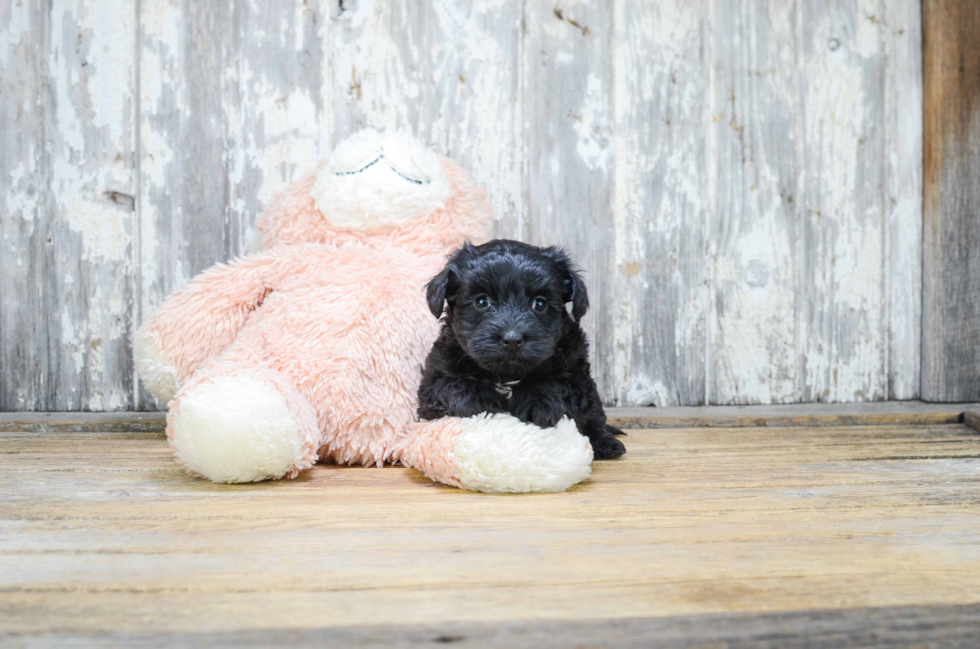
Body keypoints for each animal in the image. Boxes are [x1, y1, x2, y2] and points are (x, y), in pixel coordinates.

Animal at [418, 240, 624, 458]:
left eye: (539, 304)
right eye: (482, 301)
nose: (512, 339)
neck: (506, 375)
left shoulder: (576, 369)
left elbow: (560, 384)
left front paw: (537, 399)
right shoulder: (435, 376)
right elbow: (448, 385)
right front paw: (478, 398)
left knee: (594, 418)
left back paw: (604, 443)